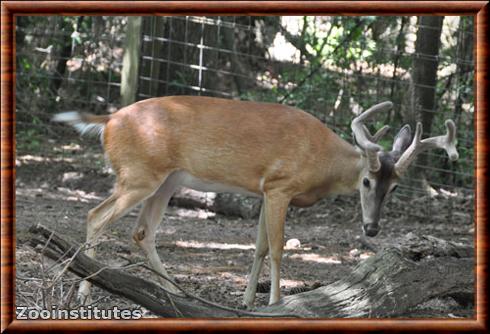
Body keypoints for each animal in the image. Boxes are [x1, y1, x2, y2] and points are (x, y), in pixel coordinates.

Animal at [54, 96, 460, 308]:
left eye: (394, 189)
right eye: (366, 181)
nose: (372, 228)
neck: (321, 161)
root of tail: (108, 121)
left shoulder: (265, 191)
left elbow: (260, 247)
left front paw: (247, 301)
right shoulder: (281, 186)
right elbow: (278, 248)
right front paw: (275, 302)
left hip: (166, 180)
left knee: (141, 232)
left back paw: (176, 292)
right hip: (139, 175)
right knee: (96, 216)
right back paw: (84, 292)